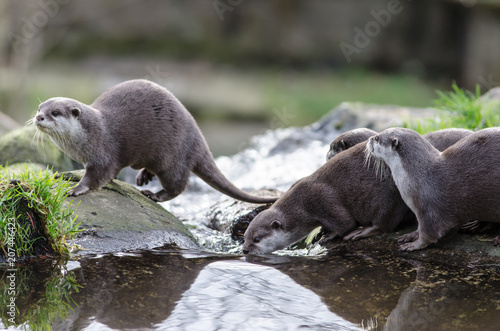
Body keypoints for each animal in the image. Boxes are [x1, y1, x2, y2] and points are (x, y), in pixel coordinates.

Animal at [34, 79, 278, 204]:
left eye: (55, 112)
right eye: (39, 107)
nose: (38, 117)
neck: (91, 134)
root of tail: (198, 137)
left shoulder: (104, 152)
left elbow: (97, 176)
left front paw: (77, 188)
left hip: (173, 155)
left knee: (179, 184)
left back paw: (155, 194)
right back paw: (144, 176)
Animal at [366, 127, 500, 252]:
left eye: (377, 138)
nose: (369, 139)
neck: (420, 176)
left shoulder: (429, 209)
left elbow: (429, 233)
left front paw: (415, 244)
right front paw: (412, 234)